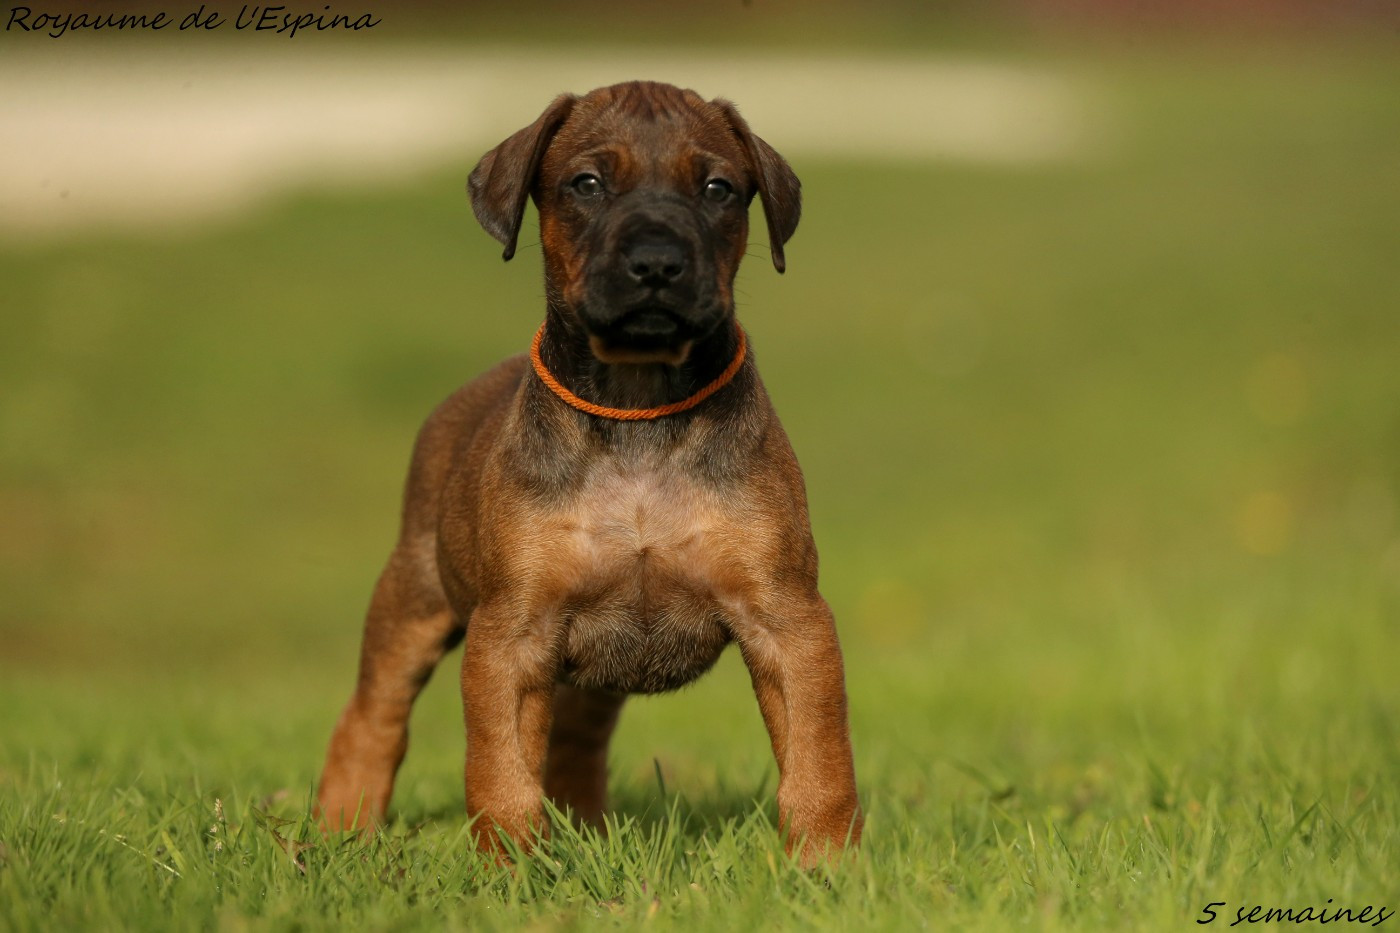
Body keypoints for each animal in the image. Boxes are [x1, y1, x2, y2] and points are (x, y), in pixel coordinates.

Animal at [315, 80, 861, 867]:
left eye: (718, 189)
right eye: (588, 184)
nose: (658, 264)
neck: (637, 403)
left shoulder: (789, 620)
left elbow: (820, 762)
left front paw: (826, 867)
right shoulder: (510, 635)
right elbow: (501, 773)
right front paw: (509, 872)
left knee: (575, 738)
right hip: (412, 595)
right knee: (371, 716)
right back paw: (342, 829)